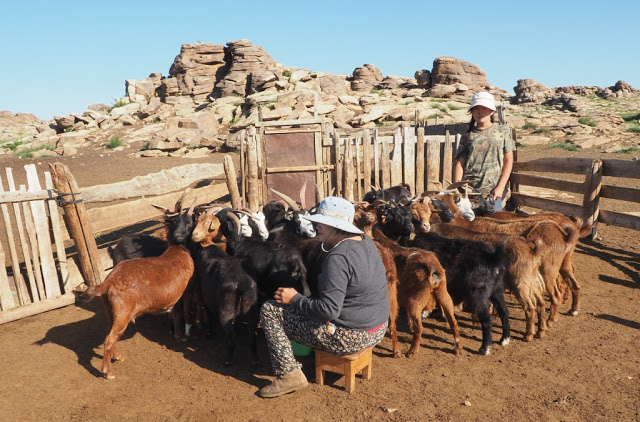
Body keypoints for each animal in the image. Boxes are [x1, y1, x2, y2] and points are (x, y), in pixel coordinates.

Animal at [85, 193, 195, 378]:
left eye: (188, 222)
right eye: (172, 222)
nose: (179, 235)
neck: (177, 250)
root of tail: (108, 282)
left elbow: (173, 313)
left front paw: (176, 334)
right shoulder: (184, 290)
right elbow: (181, 312)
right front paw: (182, 336)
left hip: (111, 310)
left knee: (109, 332)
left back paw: (117, 356)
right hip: (123, 312)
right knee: (109, 338)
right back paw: (108, 371)